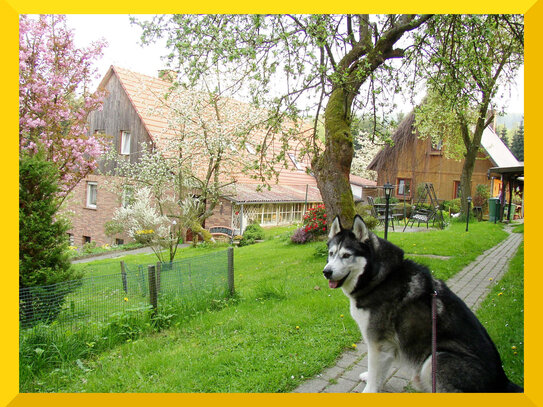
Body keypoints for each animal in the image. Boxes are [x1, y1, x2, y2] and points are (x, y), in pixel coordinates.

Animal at [324, 215, 524, 394]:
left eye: (346, 255)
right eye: (331, 254)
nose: (326, 271)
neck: (379, 277)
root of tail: (502, 381)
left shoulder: (378, 342)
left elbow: (375, 369)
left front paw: (370, 390)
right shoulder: (388, 344)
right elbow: (382, 369)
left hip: (436, 359)